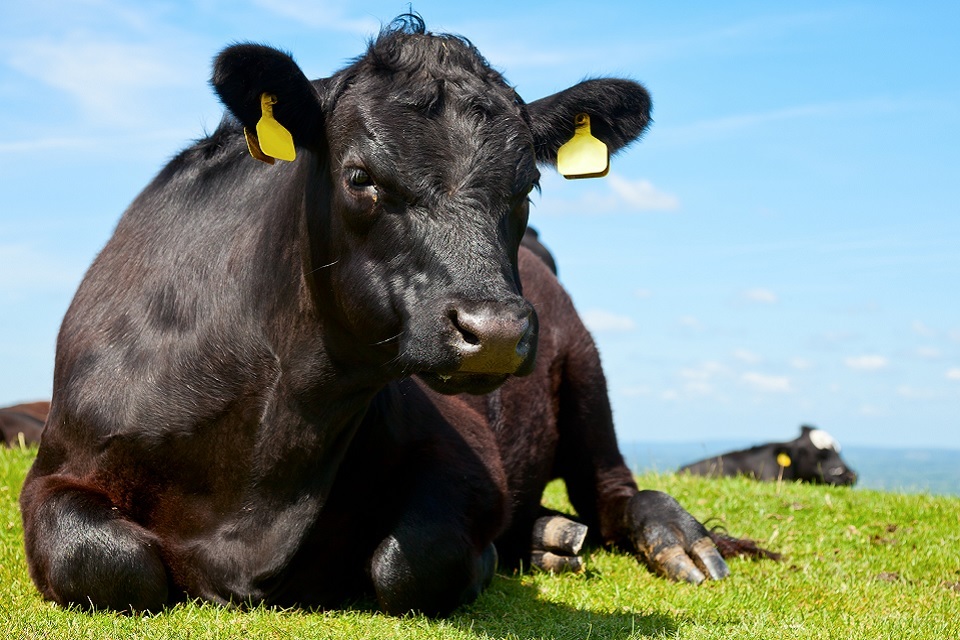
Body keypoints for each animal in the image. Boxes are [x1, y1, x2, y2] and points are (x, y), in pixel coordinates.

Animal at [20, 15, 731, 616]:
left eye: (528, 184)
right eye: (360, 176)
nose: (496, 332)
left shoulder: (465, 457)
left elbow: (411, 560)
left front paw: (487, 560)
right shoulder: (55, 469)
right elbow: (104, 561)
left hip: (586, 376)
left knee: (614, 491)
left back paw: (672, 540)